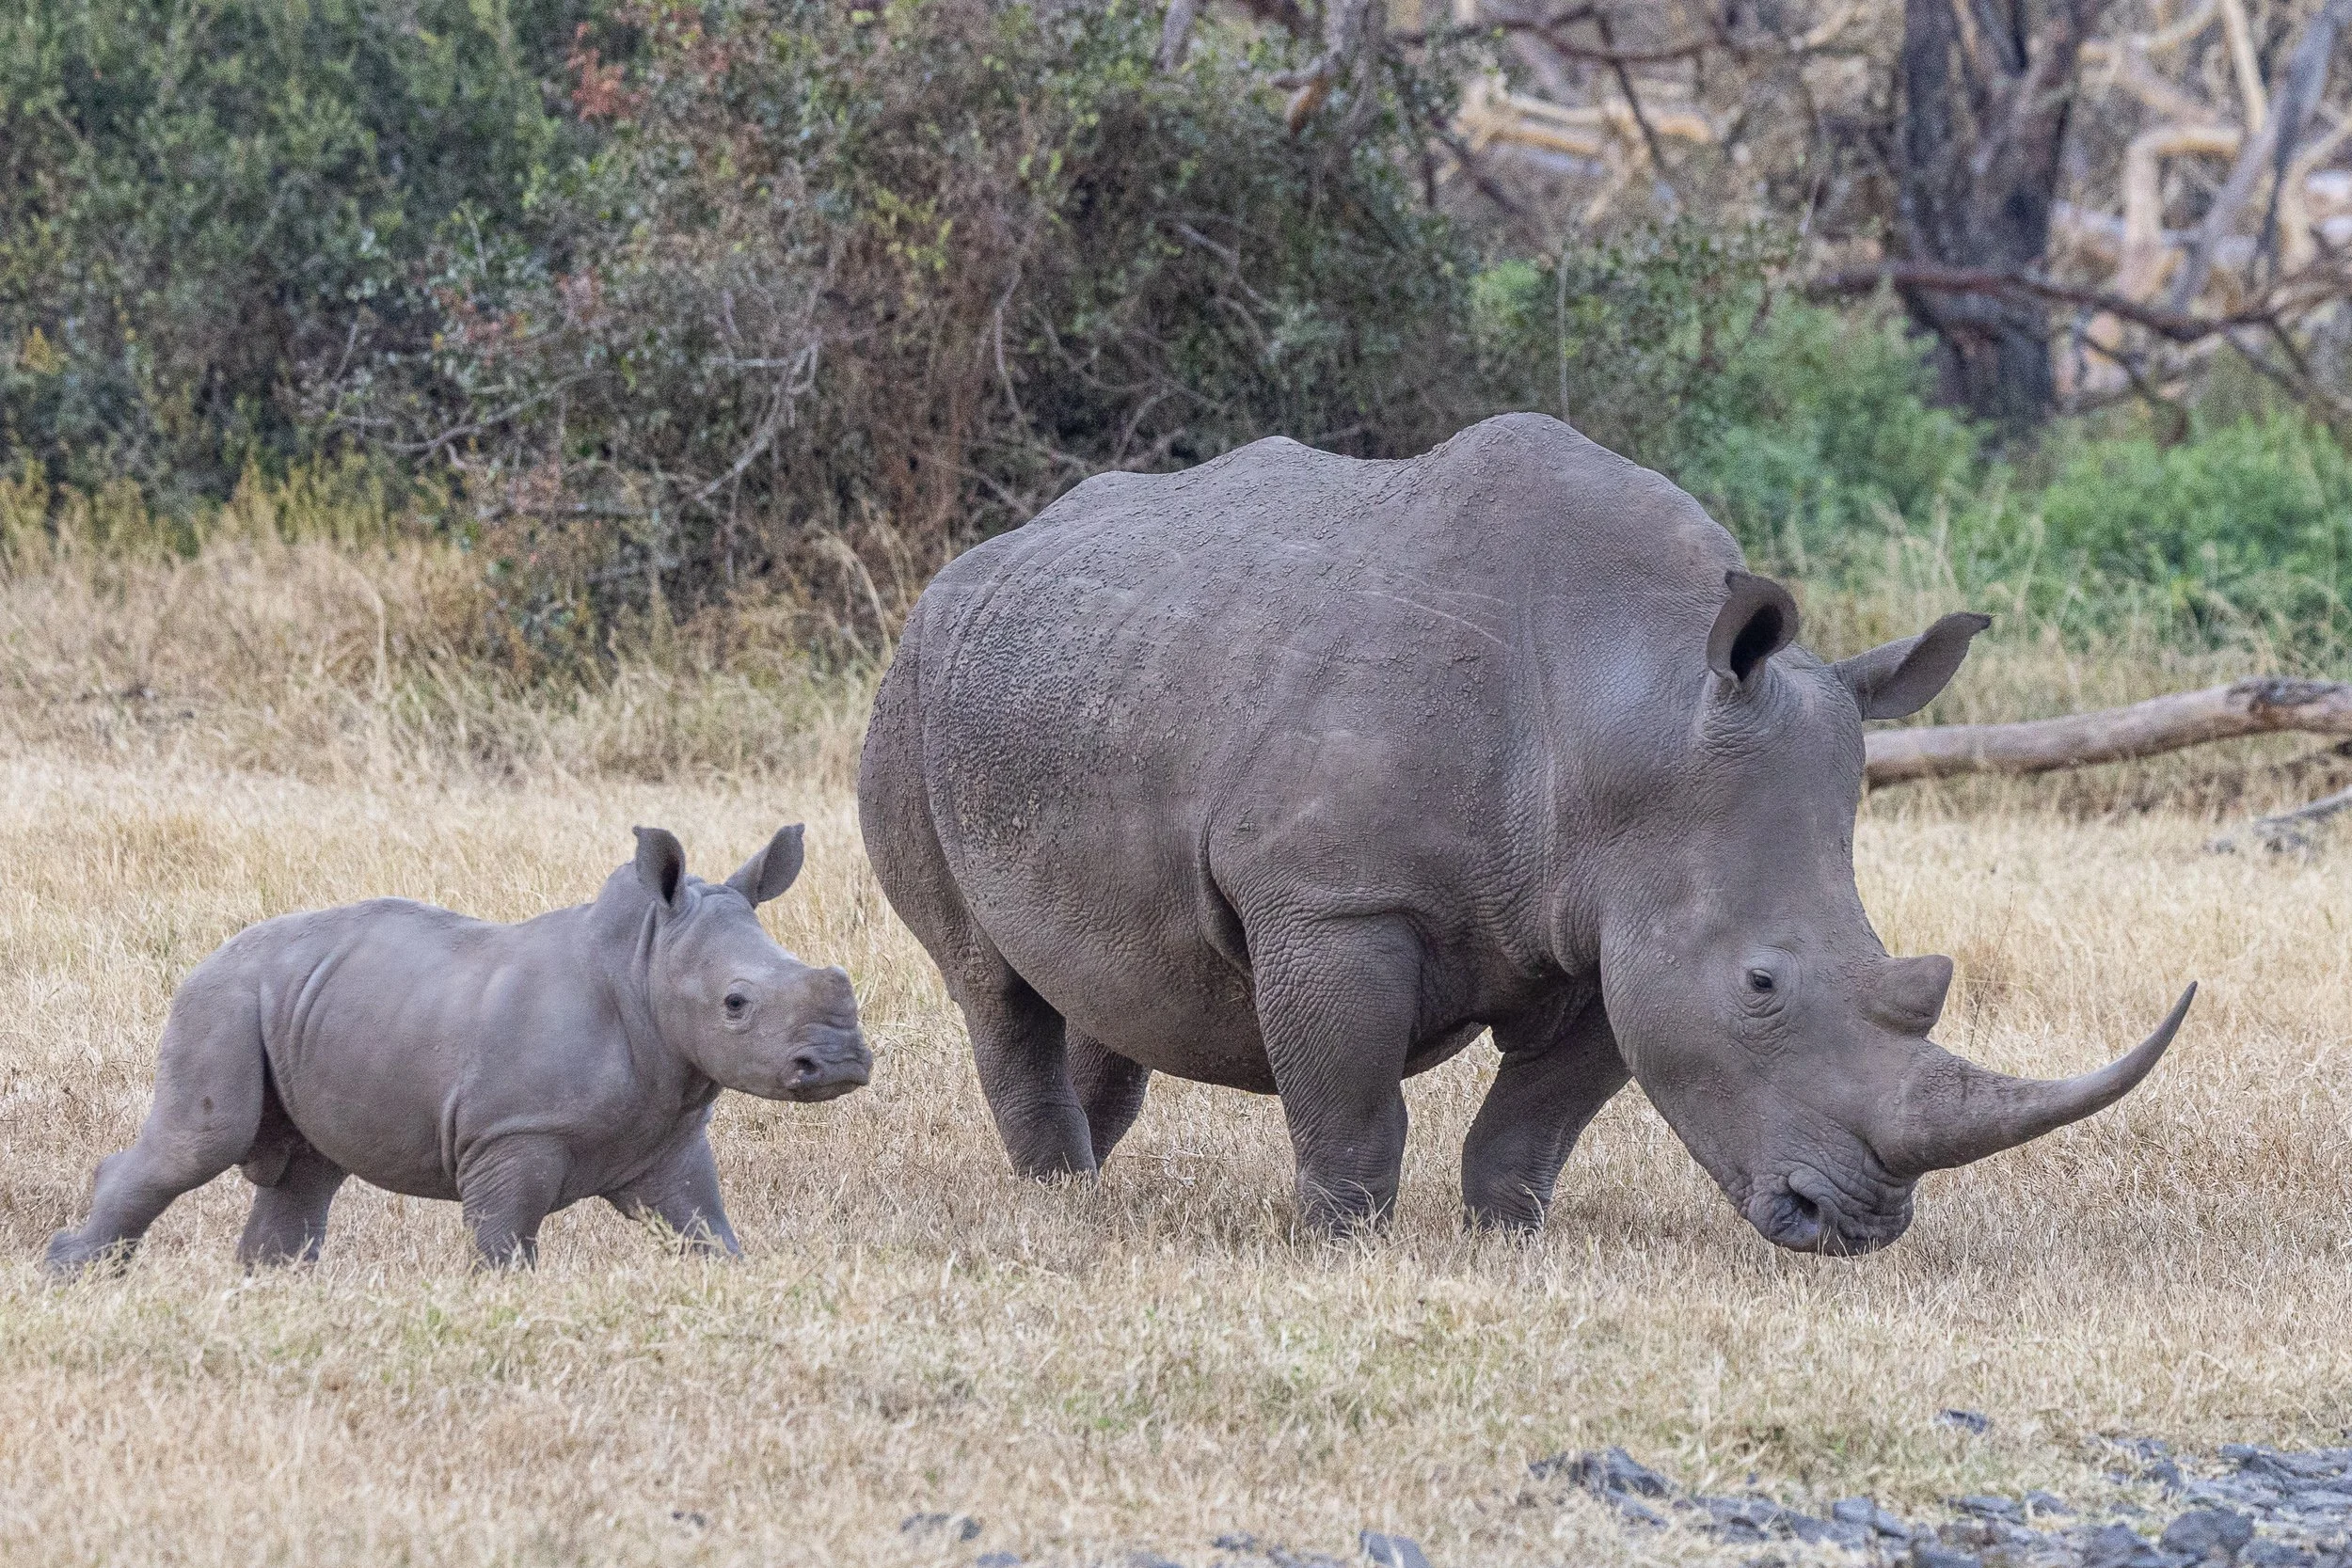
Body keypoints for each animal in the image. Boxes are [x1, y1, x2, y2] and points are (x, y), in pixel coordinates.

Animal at [44, 825, 869, 1274]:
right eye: (735, 1004)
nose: (842, 1064)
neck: (643, 960)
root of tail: (209, 956)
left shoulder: (668, 1140)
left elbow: (708, 1234)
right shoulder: (512, 1136)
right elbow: (504, 1242)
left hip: (299, 1002)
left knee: (306, 1172)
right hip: (222, 999)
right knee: (201, 1141)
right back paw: (75, 1276)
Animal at [858, 414, 2194, 1252]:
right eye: (1761, 983)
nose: (1853, 1226)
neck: (1631, 708)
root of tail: (971, 563)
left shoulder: (1609, 924)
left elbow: (1537, 1117)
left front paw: (1507, 1235)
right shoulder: (1330, 897)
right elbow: (1351, 1103)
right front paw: (1340, 1241)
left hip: (1087, 673)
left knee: (1110, 979)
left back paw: (1090, 1185)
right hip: (912, 687)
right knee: (988, 981)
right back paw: (1057, 1196)